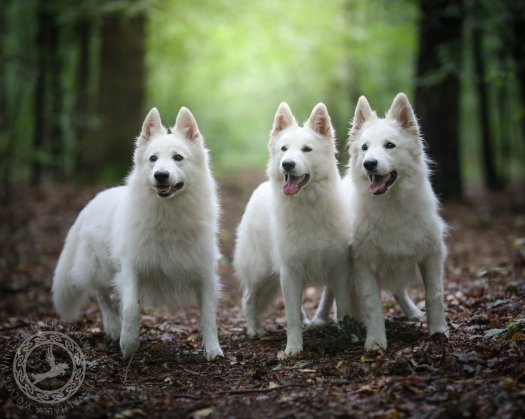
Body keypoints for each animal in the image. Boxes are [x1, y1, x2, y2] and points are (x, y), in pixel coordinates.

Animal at [52, 106, 223, 360]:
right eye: (153, 159)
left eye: (178, 158)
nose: (160, 175)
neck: (168, 213)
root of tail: (92, 202)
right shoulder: (132, 267)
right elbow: (131, 307)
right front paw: (129, 344)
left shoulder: (204, 271)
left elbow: (209, 315)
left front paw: (213, 349)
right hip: (102, 268)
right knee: (101, 294)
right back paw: (114, 327)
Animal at [234, 101, 352, 358]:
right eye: (284, 149)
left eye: (307, 149)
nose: (287, 164)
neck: (308, 207)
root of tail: (260, 188)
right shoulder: (290, 271)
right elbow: (290, 318)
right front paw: (293, 348)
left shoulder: (339, 268)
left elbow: (343, 308)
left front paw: (351, 337)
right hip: (259, 272)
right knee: (248, 299)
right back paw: (254, 330)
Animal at [346, 92, 448, 352]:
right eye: (364, 148)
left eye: (390, 145)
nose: (369, 163)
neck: (391, 205)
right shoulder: (363, 263)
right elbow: (373, 305)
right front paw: (375, 341)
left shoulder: (431, 253)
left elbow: (434, 294)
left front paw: (438, 331)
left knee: (399, 290)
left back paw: (413, 313)